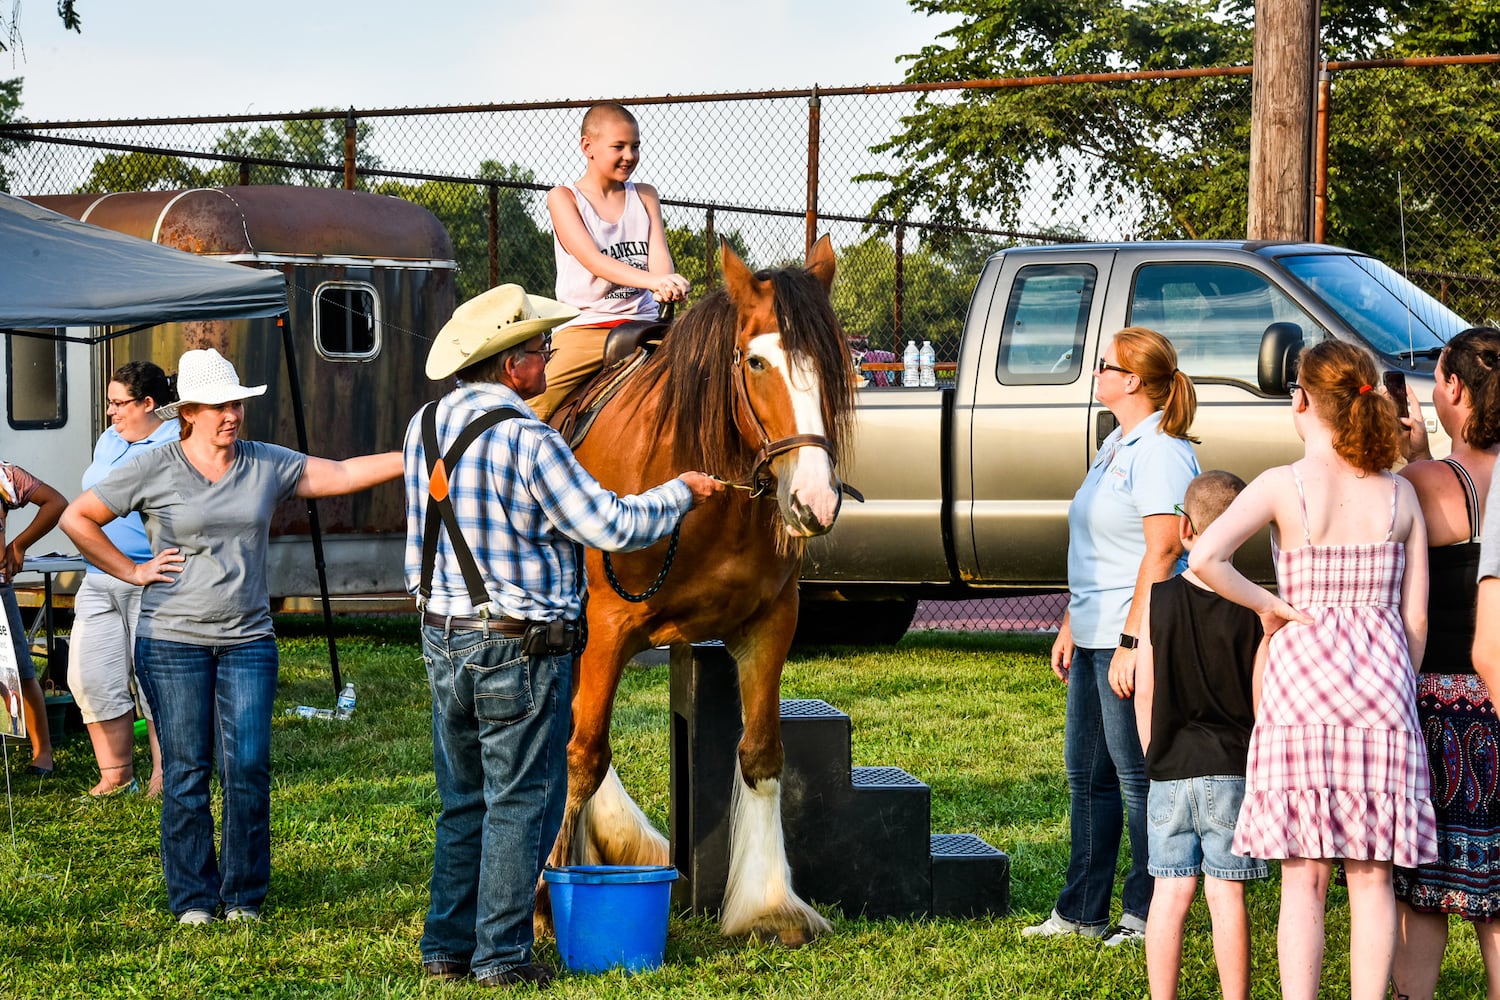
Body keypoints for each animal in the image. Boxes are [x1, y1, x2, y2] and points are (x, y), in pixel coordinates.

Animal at [552, 238, 858, 941]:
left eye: (835, 362)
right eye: (757, 361)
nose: (815, 500)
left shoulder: (770, 624)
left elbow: (763, 754)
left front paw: (769, 904)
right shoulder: (608, 630)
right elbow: (583, 755)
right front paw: (546, 909)